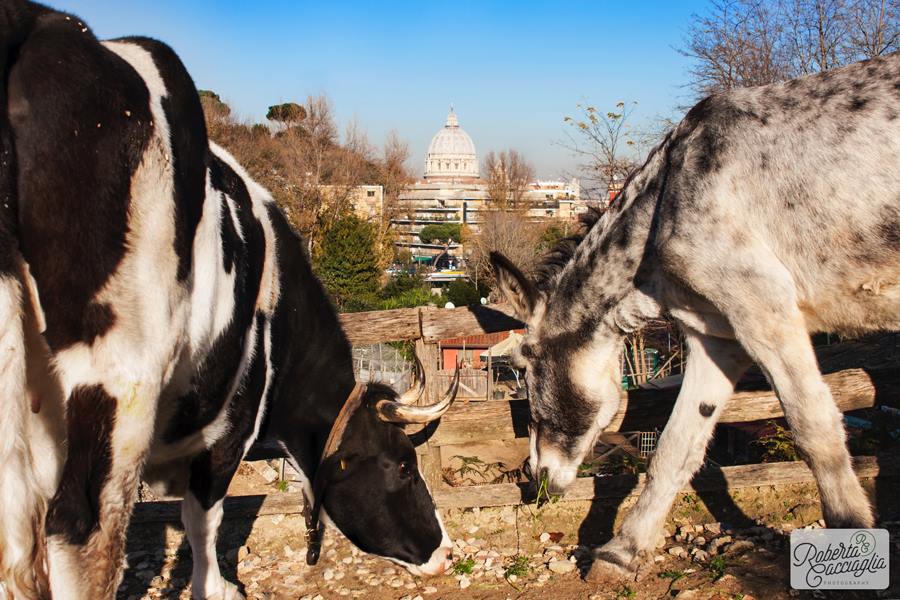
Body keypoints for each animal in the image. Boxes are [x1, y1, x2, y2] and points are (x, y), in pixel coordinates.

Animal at [1, 2, 458, 596]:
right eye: (403, 464)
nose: (446, 552)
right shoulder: (225, 432)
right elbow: (205, 519)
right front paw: (216, 585)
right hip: (119, 380)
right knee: (83, 534)